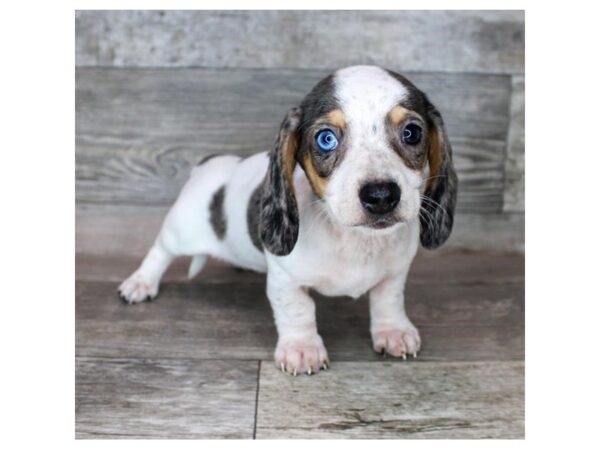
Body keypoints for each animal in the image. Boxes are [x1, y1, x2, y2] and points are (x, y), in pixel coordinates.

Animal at [117, 65, 458, 374]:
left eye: (412, 133)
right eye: (326, 139)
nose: (381, 196)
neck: (353, 239)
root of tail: (209, 163)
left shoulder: (395, 272)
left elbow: (388, 300)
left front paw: (393, 331)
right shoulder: (285, 278)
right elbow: (298, 310)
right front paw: (302, 349)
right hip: (181, 229)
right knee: (160, 251)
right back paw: (140, 283)